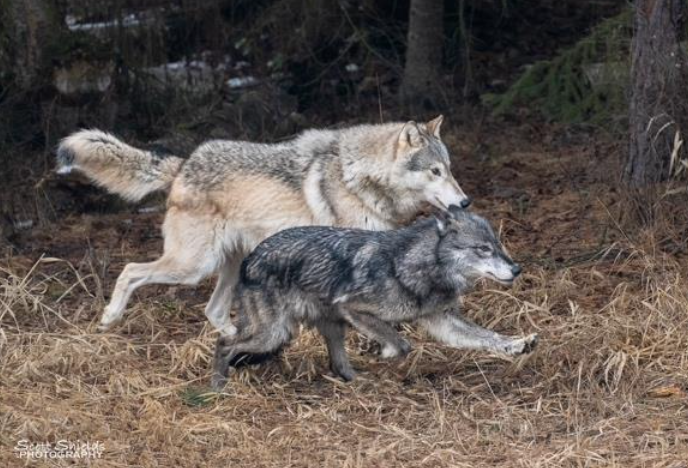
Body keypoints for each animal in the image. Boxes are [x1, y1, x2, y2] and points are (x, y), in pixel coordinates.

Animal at [56, 116, 471, 335]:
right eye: (435, 172)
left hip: (228, 266)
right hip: (192, 268)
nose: (465, 202)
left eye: (450, 170)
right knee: (130, 271)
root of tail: (184, 164)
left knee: (213, 311)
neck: (361, 178)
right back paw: (109, 319)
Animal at [211, 207, 538, 389]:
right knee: (224, 344)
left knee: (339, 367)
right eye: (483, 249)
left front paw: (518, 344)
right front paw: (389, 355)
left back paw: (363, 383)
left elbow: (489, 337)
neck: (415, 266)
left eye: (498, 245)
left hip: (327, 328)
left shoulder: (443, 321)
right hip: (275, 333)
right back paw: (218, 388)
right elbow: (401, 343)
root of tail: (248, 259)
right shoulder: (353, 308)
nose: (517, 269)